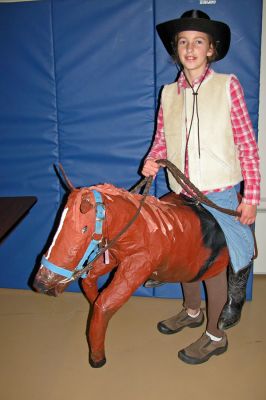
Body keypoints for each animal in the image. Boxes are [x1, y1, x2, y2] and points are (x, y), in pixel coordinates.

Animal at [33, 169, 229, 366]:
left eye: (84, 228)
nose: (41, 283)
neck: (141, 229)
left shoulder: (137, 268)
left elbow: (104, 305)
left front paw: (97, 358)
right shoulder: (112, 256)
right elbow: (90, 283)